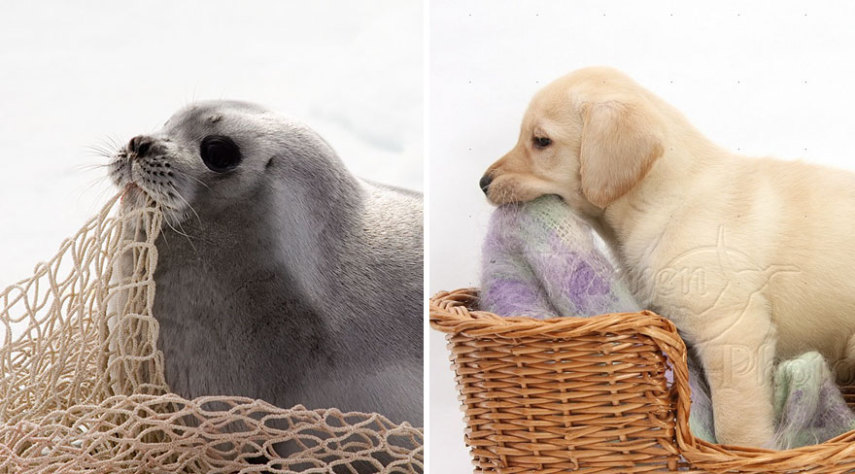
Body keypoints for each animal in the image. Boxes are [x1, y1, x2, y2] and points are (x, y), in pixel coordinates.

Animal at [482, 66, 855, 448]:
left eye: (541, 141)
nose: (483, 182)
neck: (667, 200)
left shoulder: (732, 329)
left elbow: (736, 421)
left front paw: (747, 452)